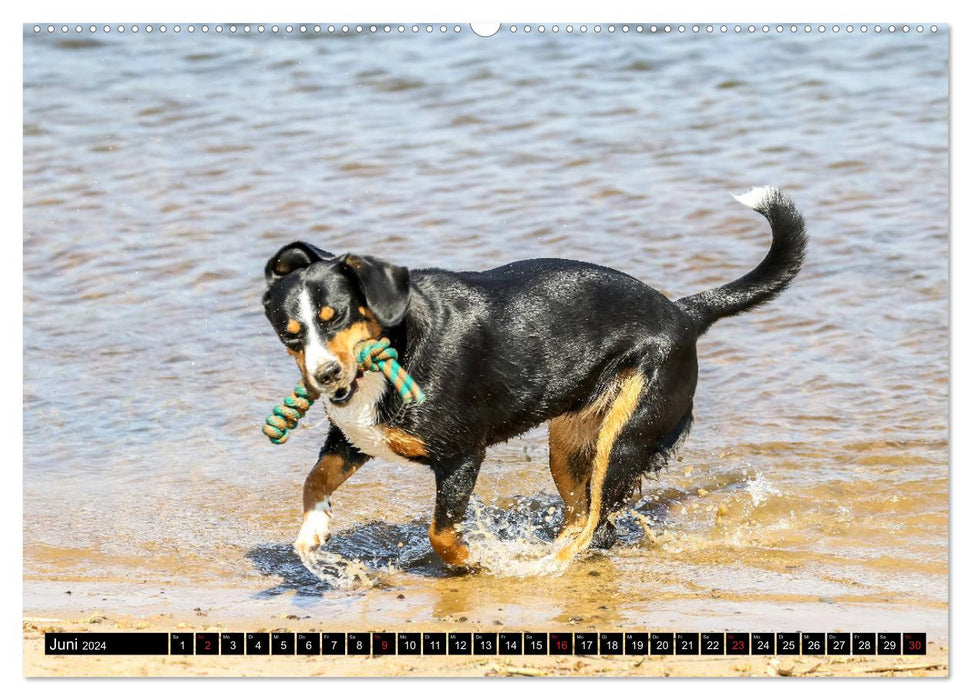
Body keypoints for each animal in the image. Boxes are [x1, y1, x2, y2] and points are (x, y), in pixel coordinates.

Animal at [262, 187, 808, 568]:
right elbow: (314, 479)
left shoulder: (461, 455)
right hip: (569, 446)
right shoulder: (352, 437)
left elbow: (441, 533)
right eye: (291, 334)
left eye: (336, 315)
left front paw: (470, 562)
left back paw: (546, 566)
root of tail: (682, 312)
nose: (326, 375)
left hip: (624, 436)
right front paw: (313, 531)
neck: (402, 340)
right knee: (583, 514)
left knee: (597, 524)